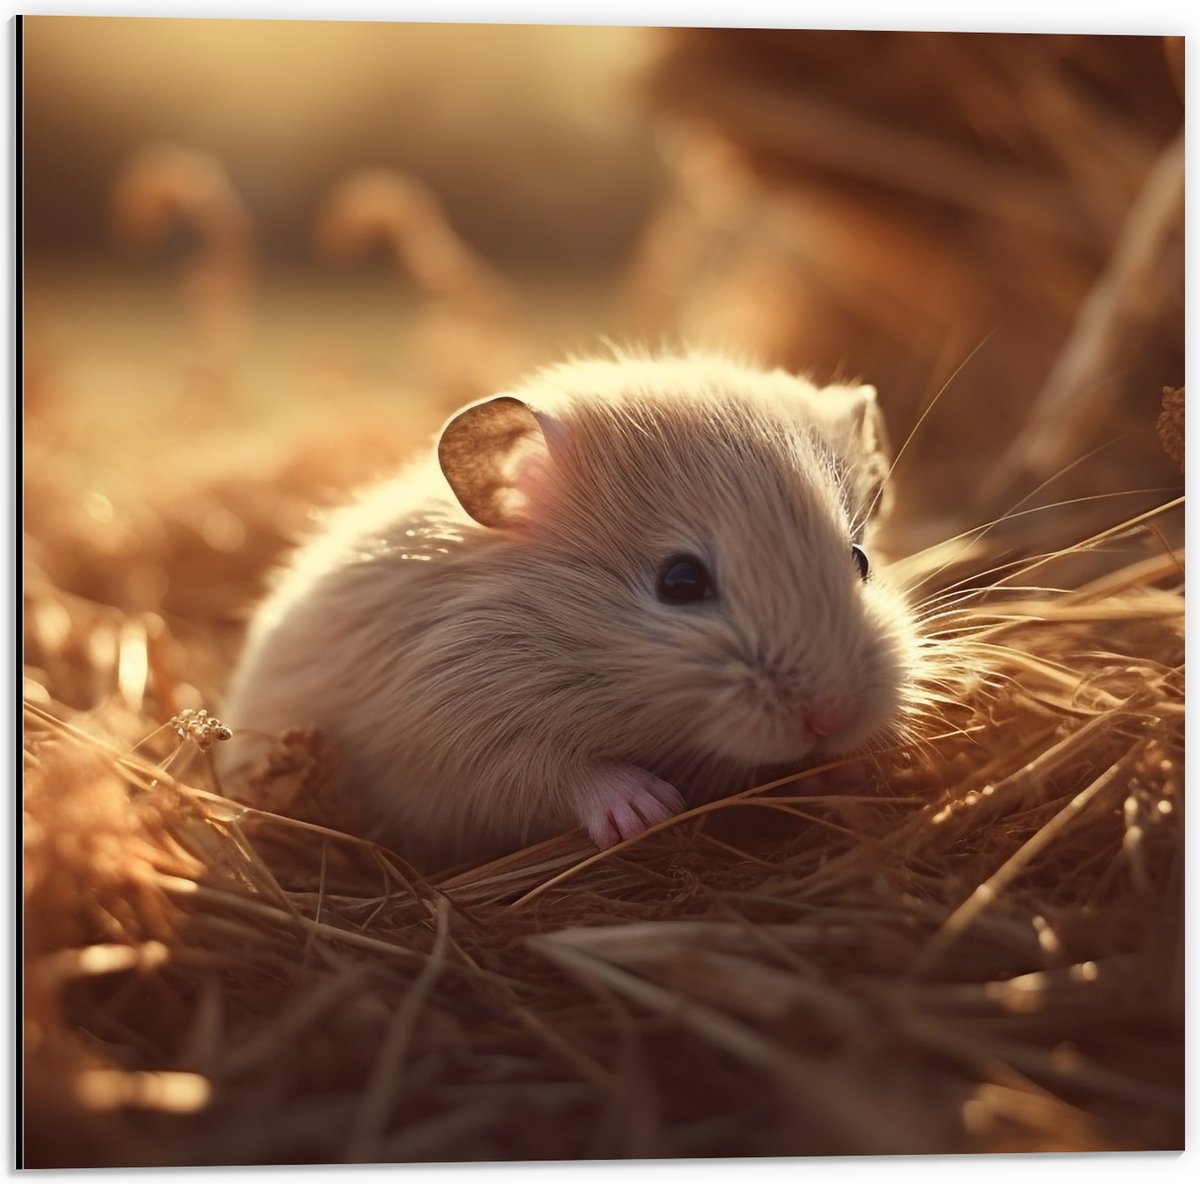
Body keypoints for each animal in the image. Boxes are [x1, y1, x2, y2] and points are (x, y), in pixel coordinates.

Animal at [218, 352, 918, 869]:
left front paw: (858, 772)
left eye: (861, 559)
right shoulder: (452, 741)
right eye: (680, 581)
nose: (831, 719)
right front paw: (650, 810)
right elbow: (557, 771)